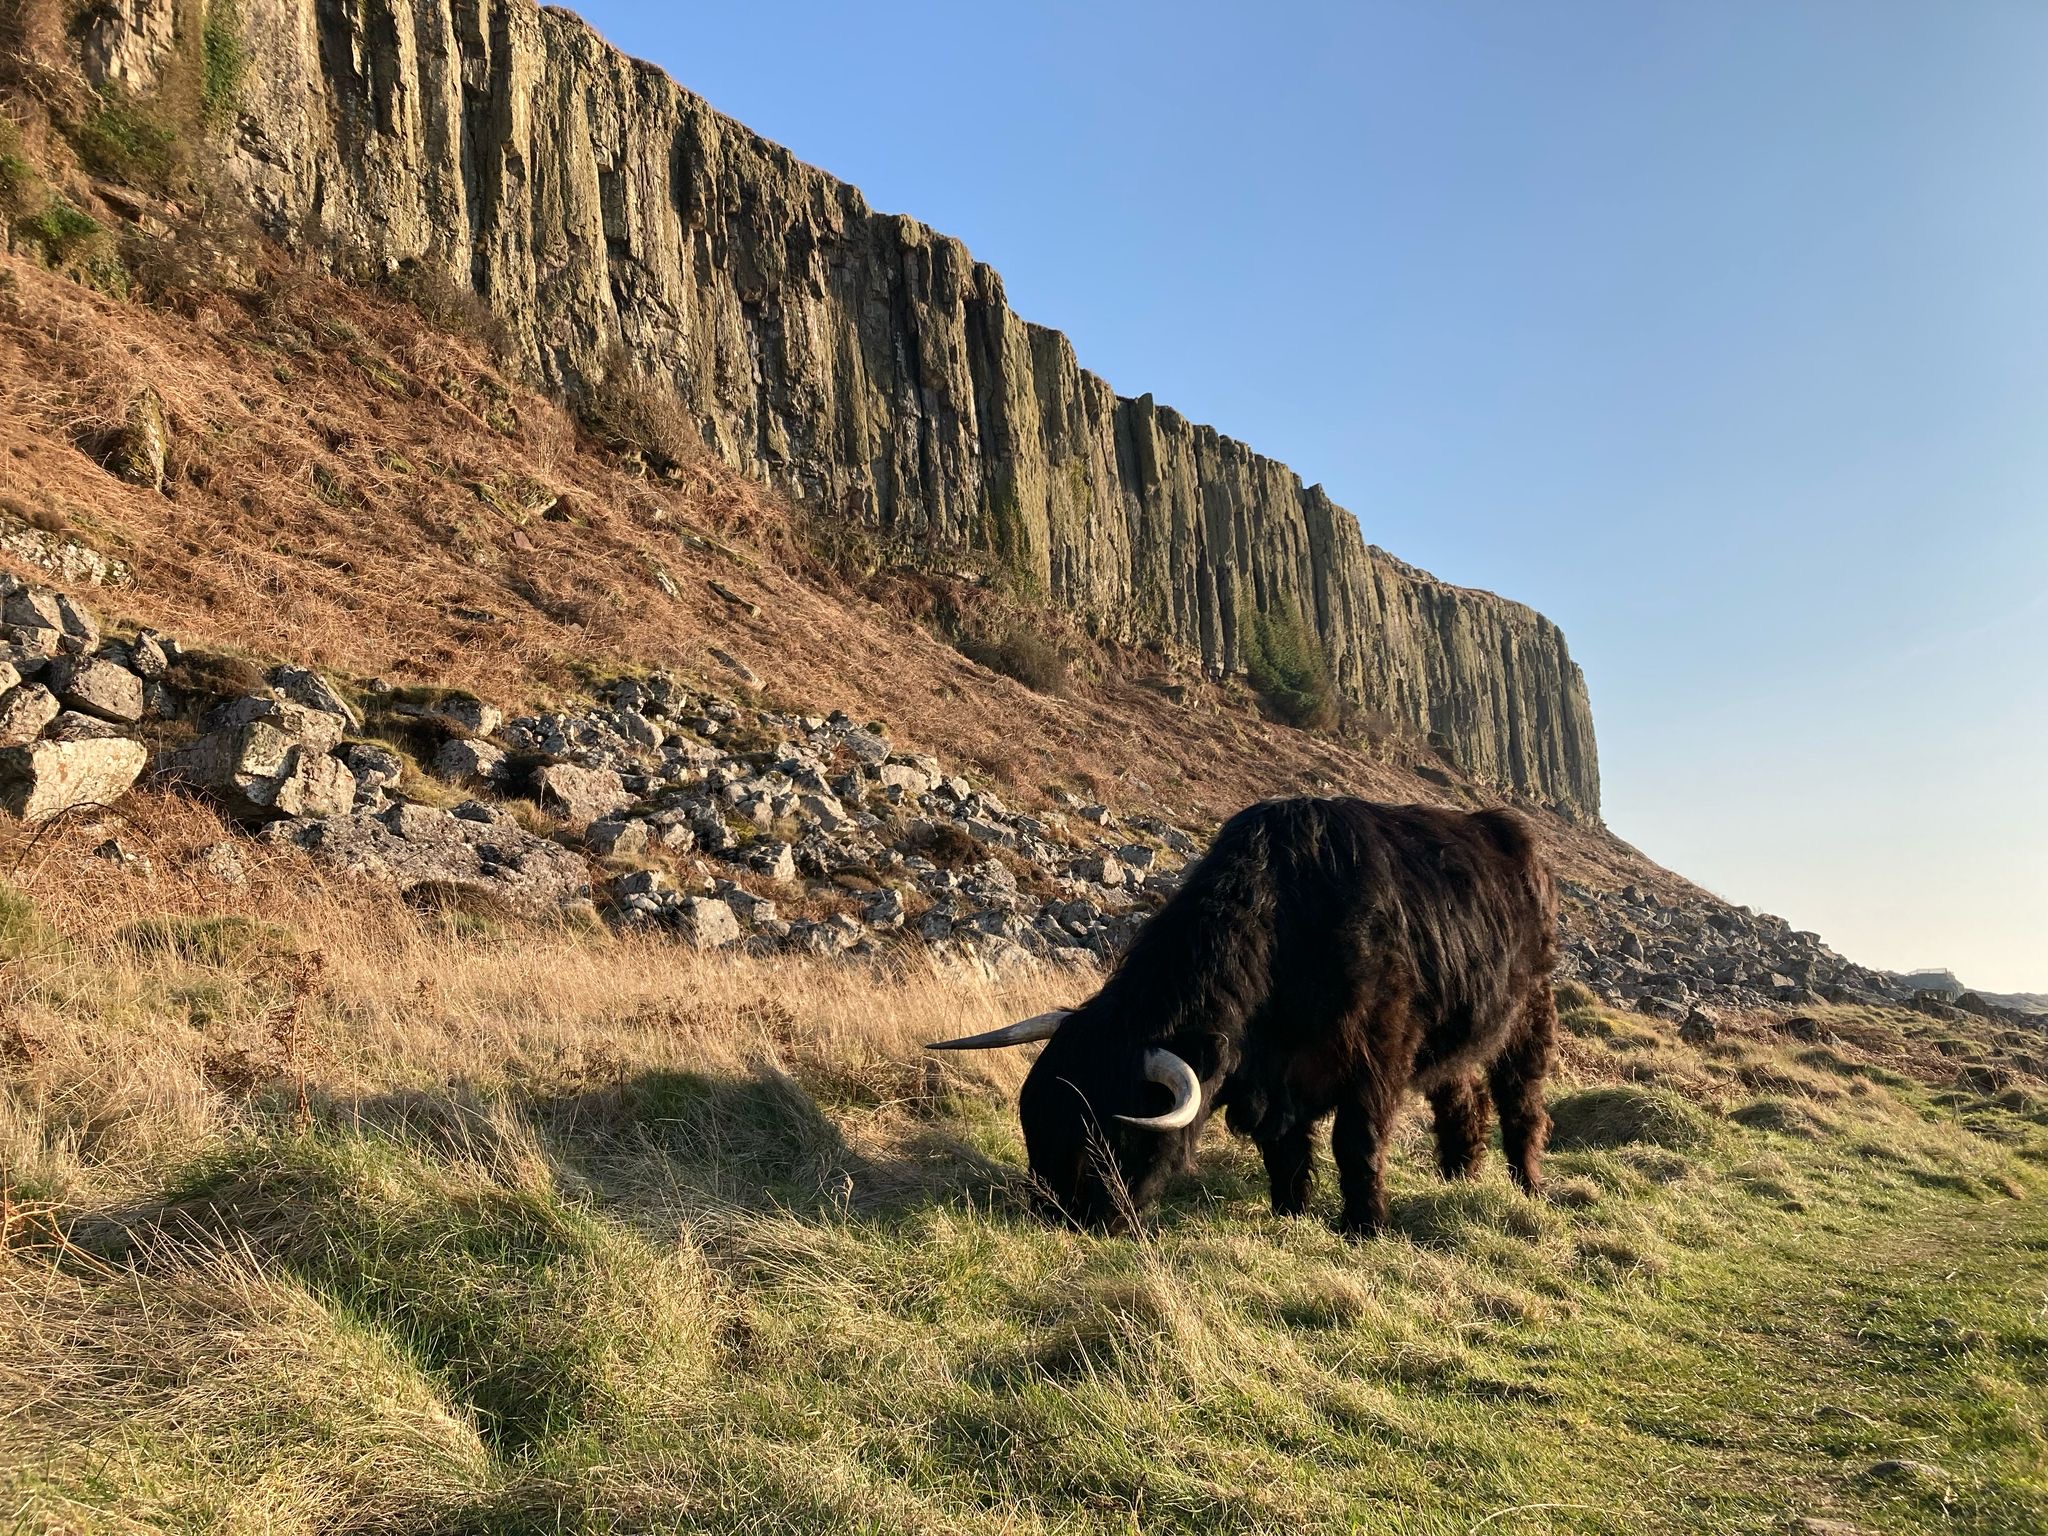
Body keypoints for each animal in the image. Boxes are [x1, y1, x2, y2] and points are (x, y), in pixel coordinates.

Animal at [928, 797, 1559, 1234]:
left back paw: (1527, 1185)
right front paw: (1290, 1213)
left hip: (1531, 1011)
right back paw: (1460, 1174)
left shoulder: (1378, 1053)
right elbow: (1285, 1151)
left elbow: (1356, 1142)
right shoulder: (1271, 1079)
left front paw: (1364, 1227)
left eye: (1103, 1136)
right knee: (1462, 1095)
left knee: (1521, 1101)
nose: (1056, 1216)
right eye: (1033, 1121)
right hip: (1460, 1030)